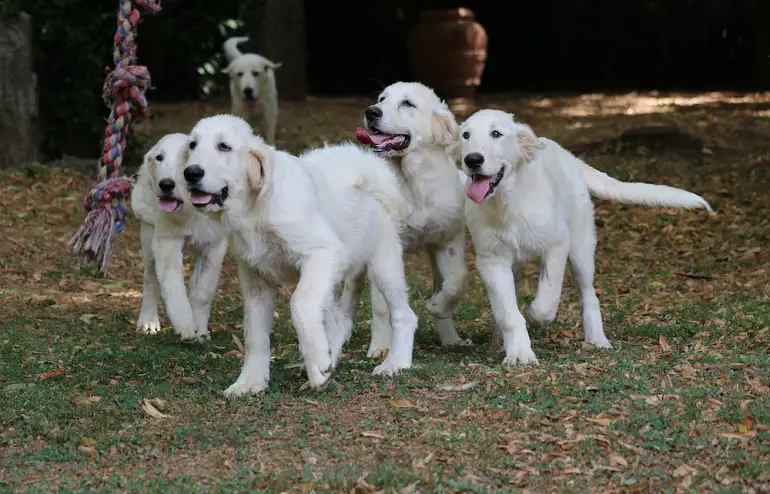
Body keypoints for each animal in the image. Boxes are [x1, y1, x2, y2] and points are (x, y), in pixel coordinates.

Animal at [129, 134, 230, 344]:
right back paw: (148, 320)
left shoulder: (215, 245)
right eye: (159, 157)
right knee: (151, 279)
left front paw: (200, 328)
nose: (166, 185)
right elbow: (173, 286)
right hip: (148, 236)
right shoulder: (166, 242)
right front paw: (185, 325)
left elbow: (204, 290)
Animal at [452, 111, 712, 366]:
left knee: (589, 295)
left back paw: (597, 339)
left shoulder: (557, 245)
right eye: (466, 135)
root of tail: (571, 159)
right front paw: (519, 353)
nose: (472, 160)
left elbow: (546, 303)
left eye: (496, 134)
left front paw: (534, 318)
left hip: (581, 250)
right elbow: (508, 312)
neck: (507, 202)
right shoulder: (492, 260)